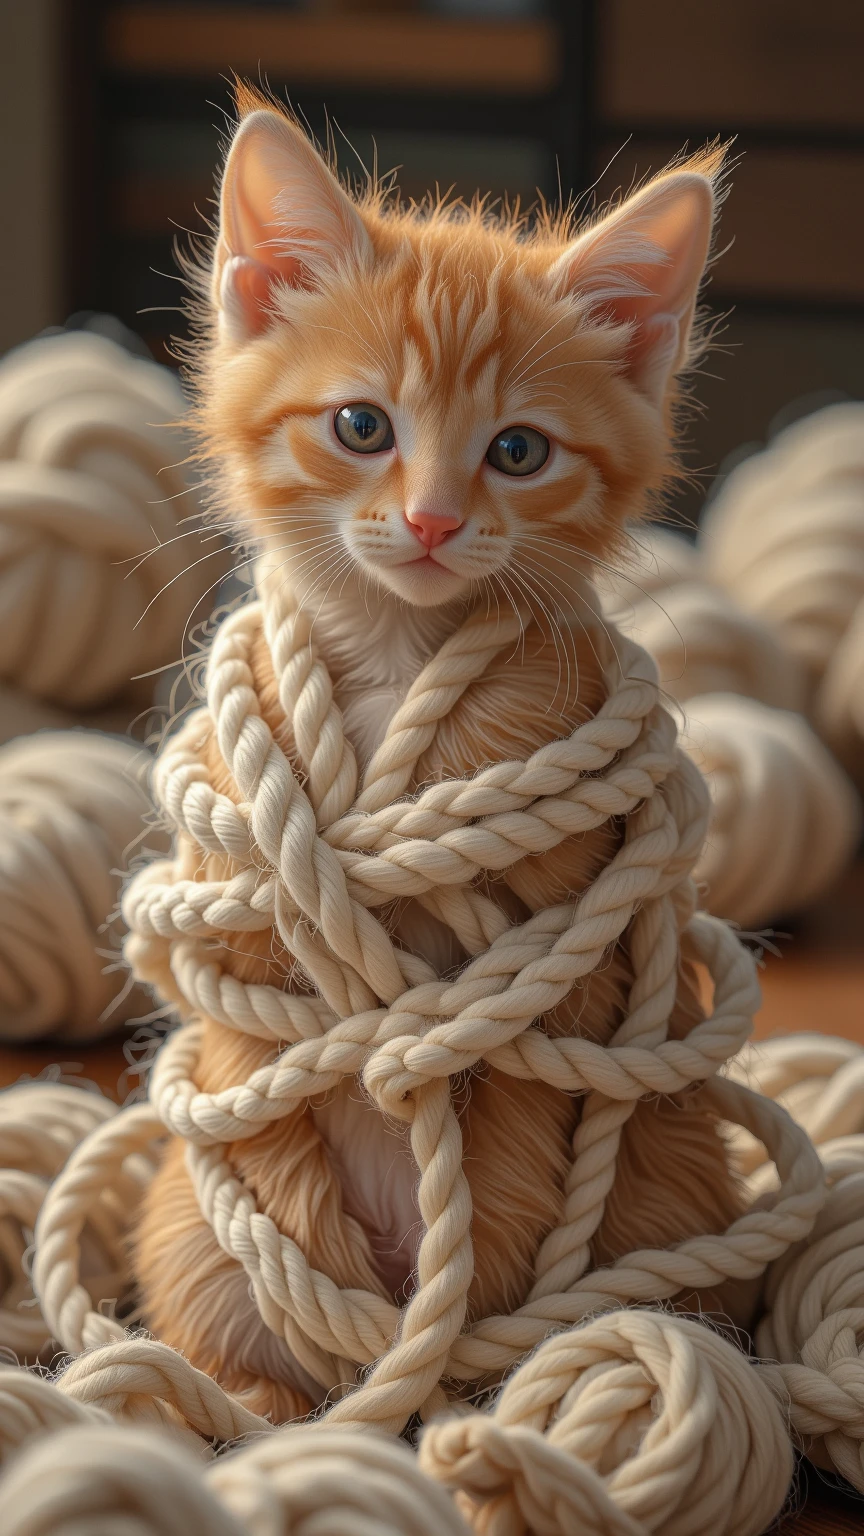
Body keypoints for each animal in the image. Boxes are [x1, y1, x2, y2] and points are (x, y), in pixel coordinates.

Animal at [131, 92, 737, 1413]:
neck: (397, 662)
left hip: (665, 1176)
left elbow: (508, 1147)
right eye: (363, 427)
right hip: (194, 1232)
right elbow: (271, 1013)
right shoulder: (243, 953)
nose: (432, 521)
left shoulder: (560, 992)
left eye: (518, 452)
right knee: (236, 1351)